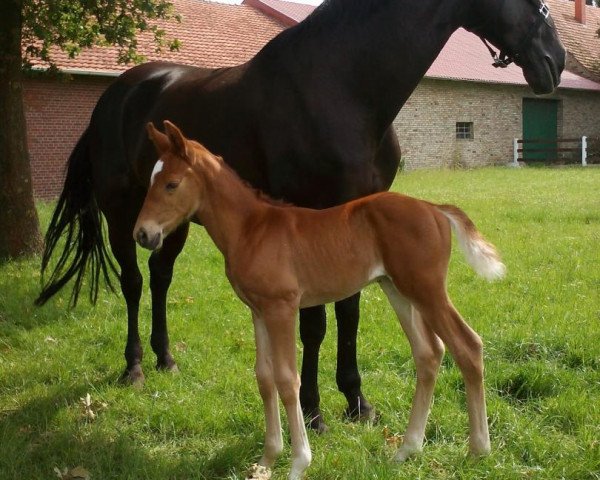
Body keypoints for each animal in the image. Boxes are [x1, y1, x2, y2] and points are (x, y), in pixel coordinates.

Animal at [35, 0, 564, 432]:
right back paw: (135, 366)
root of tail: (114, 97)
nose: (555, 61)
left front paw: (357, 402)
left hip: (171, 222)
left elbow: (348, 312)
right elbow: (315, 324)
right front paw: (312, 411)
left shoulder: (357, 221)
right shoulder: (309, 218)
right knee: (133, 282)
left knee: (160, 277)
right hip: (125, 213)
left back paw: (166, 358)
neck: (342, 86)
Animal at [134, 122, 504, 478]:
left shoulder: (282, 308)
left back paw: (478, 450)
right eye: (150, 180)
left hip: (427, 290)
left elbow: (287, 380)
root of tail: (434, 209)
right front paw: (267, 461)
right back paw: (406, 451)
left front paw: (299, 463)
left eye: (171, 184)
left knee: (467, 346)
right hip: (398, 290)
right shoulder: (258, 311)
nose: (142, 233)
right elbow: (264, 377)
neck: (251, 229)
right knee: (429, 354)